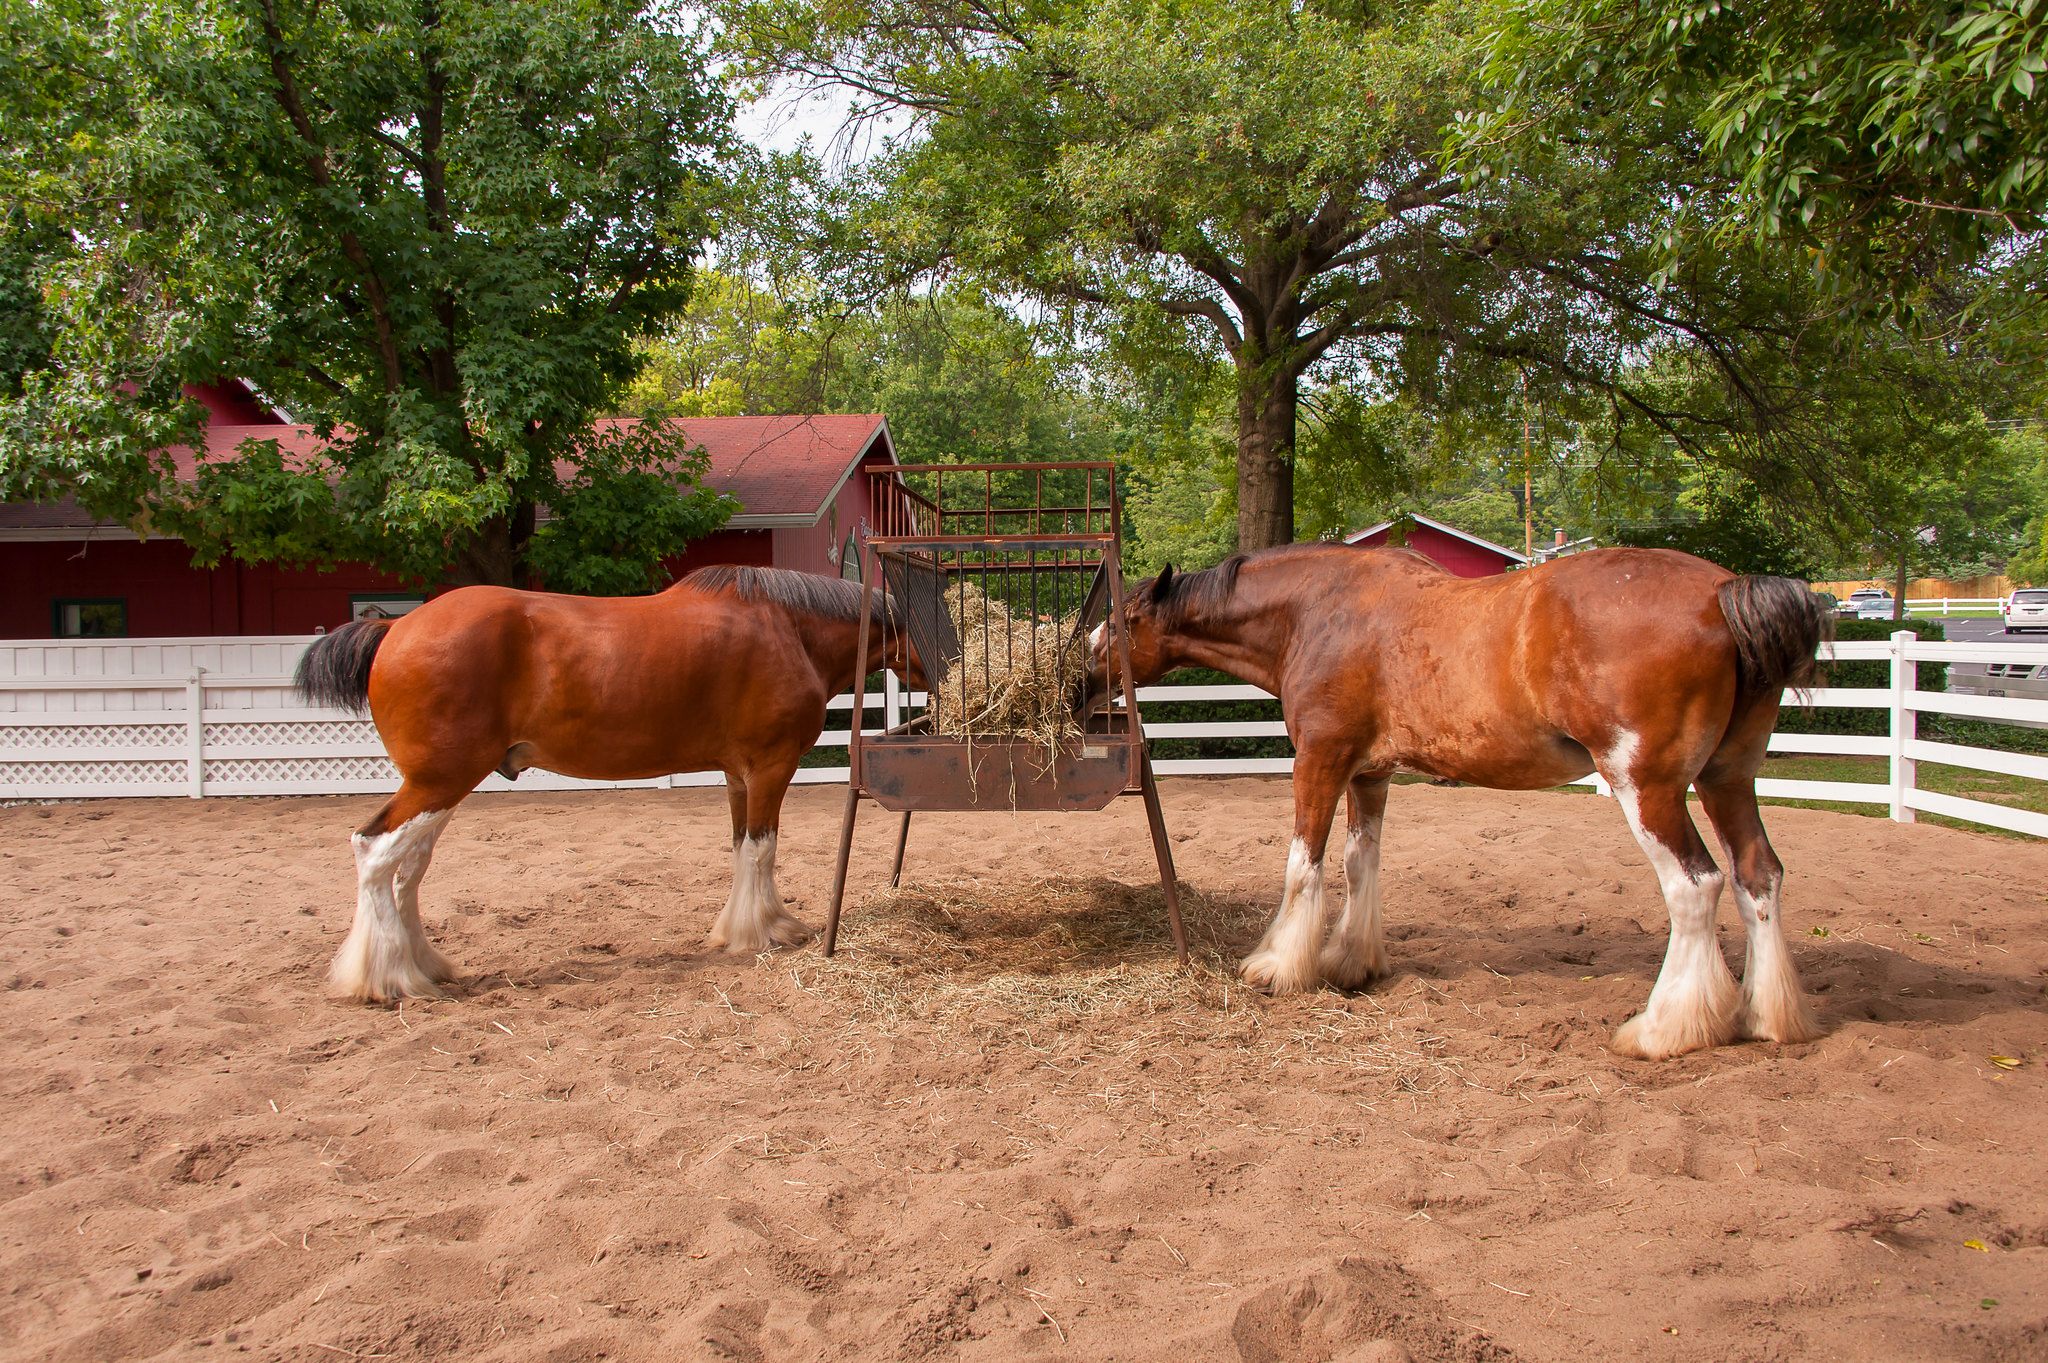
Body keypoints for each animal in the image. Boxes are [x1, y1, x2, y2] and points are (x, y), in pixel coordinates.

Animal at [294, 560, 921, 998]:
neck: (789, 628)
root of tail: (396, 627)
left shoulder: (738, 775)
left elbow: (742, 847)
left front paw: (737, 930)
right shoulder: (771, 767)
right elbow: (763, 849)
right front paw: (767, 931)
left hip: (440, 787)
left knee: (410, 866)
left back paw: (422, 965)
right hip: (438, 782)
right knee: (376, 852)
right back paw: (387, 980)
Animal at [1097, 540, 1835, 1064]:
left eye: (1124, 618)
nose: (1081, 661)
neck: (1317, 609)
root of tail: (1724, 591)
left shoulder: (1321, 761)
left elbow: (1303, 863)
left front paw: (1278, 966)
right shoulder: (1370, 774)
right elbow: (1360, 865)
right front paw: (1350, 962)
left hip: (1646, 787)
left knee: (1695, 885)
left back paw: (1664, 1028)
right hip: (1727, 780)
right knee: (1757, 875)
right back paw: (1767, 1016)